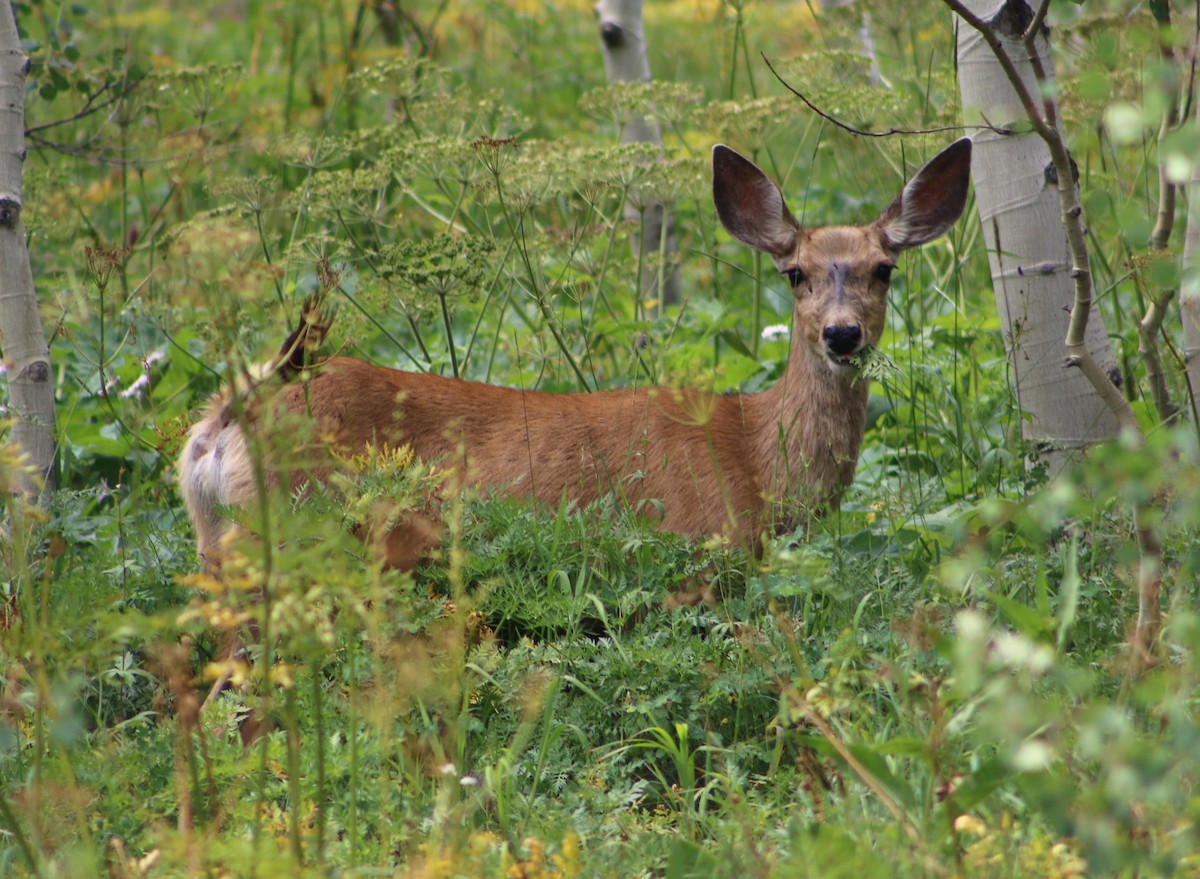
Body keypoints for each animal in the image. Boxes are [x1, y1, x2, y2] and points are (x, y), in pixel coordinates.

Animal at [179, 138, 972, 571]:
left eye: (884, 269)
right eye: (796, 273)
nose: (842, 334)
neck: (754, 458)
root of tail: (229, 417)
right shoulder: (697, 543)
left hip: (220, 538)